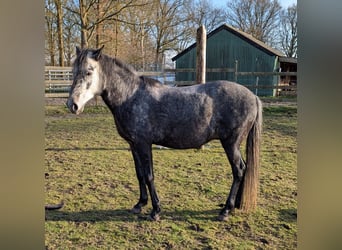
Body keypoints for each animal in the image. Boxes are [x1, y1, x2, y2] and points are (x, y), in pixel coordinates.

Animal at [68, 46, 264, 221]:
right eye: (73, 71)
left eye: (89, 71)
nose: (72, 105)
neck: (131, 95)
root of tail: (253, 96)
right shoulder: (133, 145)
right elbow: (139, 174)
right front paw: (140, 204)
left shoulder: (144, 144)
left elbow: (149, 175)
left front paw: (155, 211)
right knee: (244, 168)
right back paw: (236, 204)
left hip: (230, 143)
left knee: (238, 170)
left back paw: (226, 210)